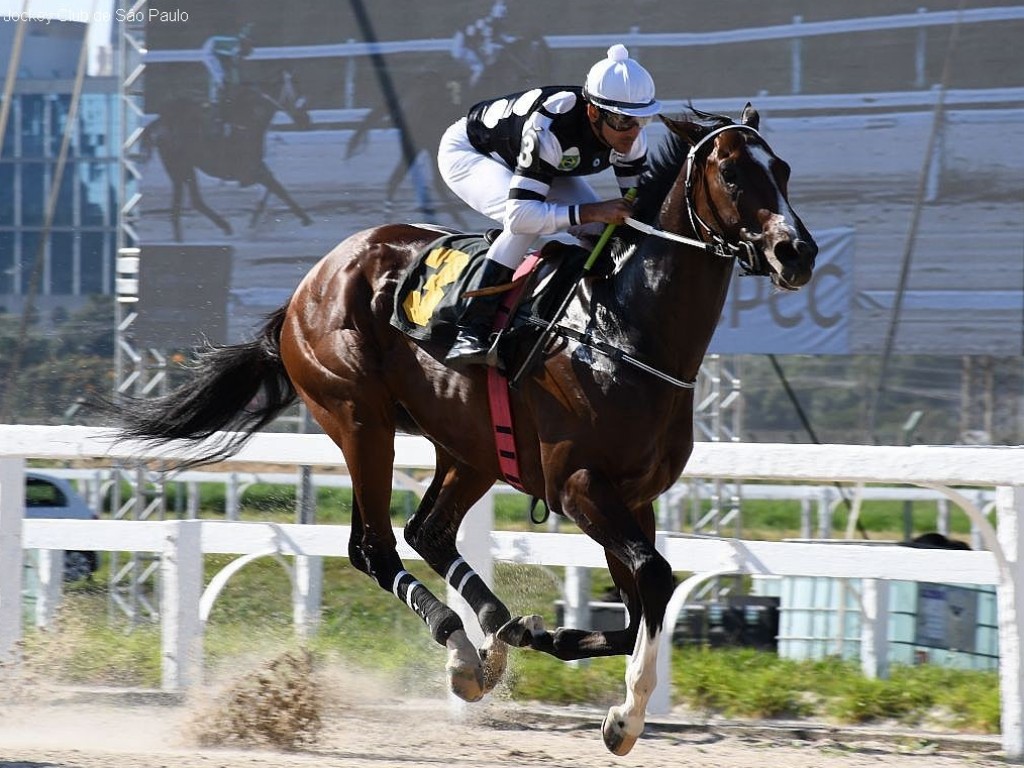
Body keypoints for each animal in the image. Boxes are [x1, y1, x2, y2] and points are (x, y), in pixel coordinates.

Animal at [112, 103, 815, 757]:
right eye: (732, 172)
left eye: (782, 169)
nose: (798, 252)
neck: (624, 330)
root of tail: (307, 287)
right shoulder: (578, 486)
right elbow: (655, 577)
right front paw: (624, 718)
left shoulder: (634, 496)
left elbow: (642, 598)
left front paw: (543, 635)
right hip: (361, 420)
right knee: (373, 548)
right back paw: (459, 649)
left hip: (468, 447)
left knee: (429, 530)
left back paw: (490, 639)